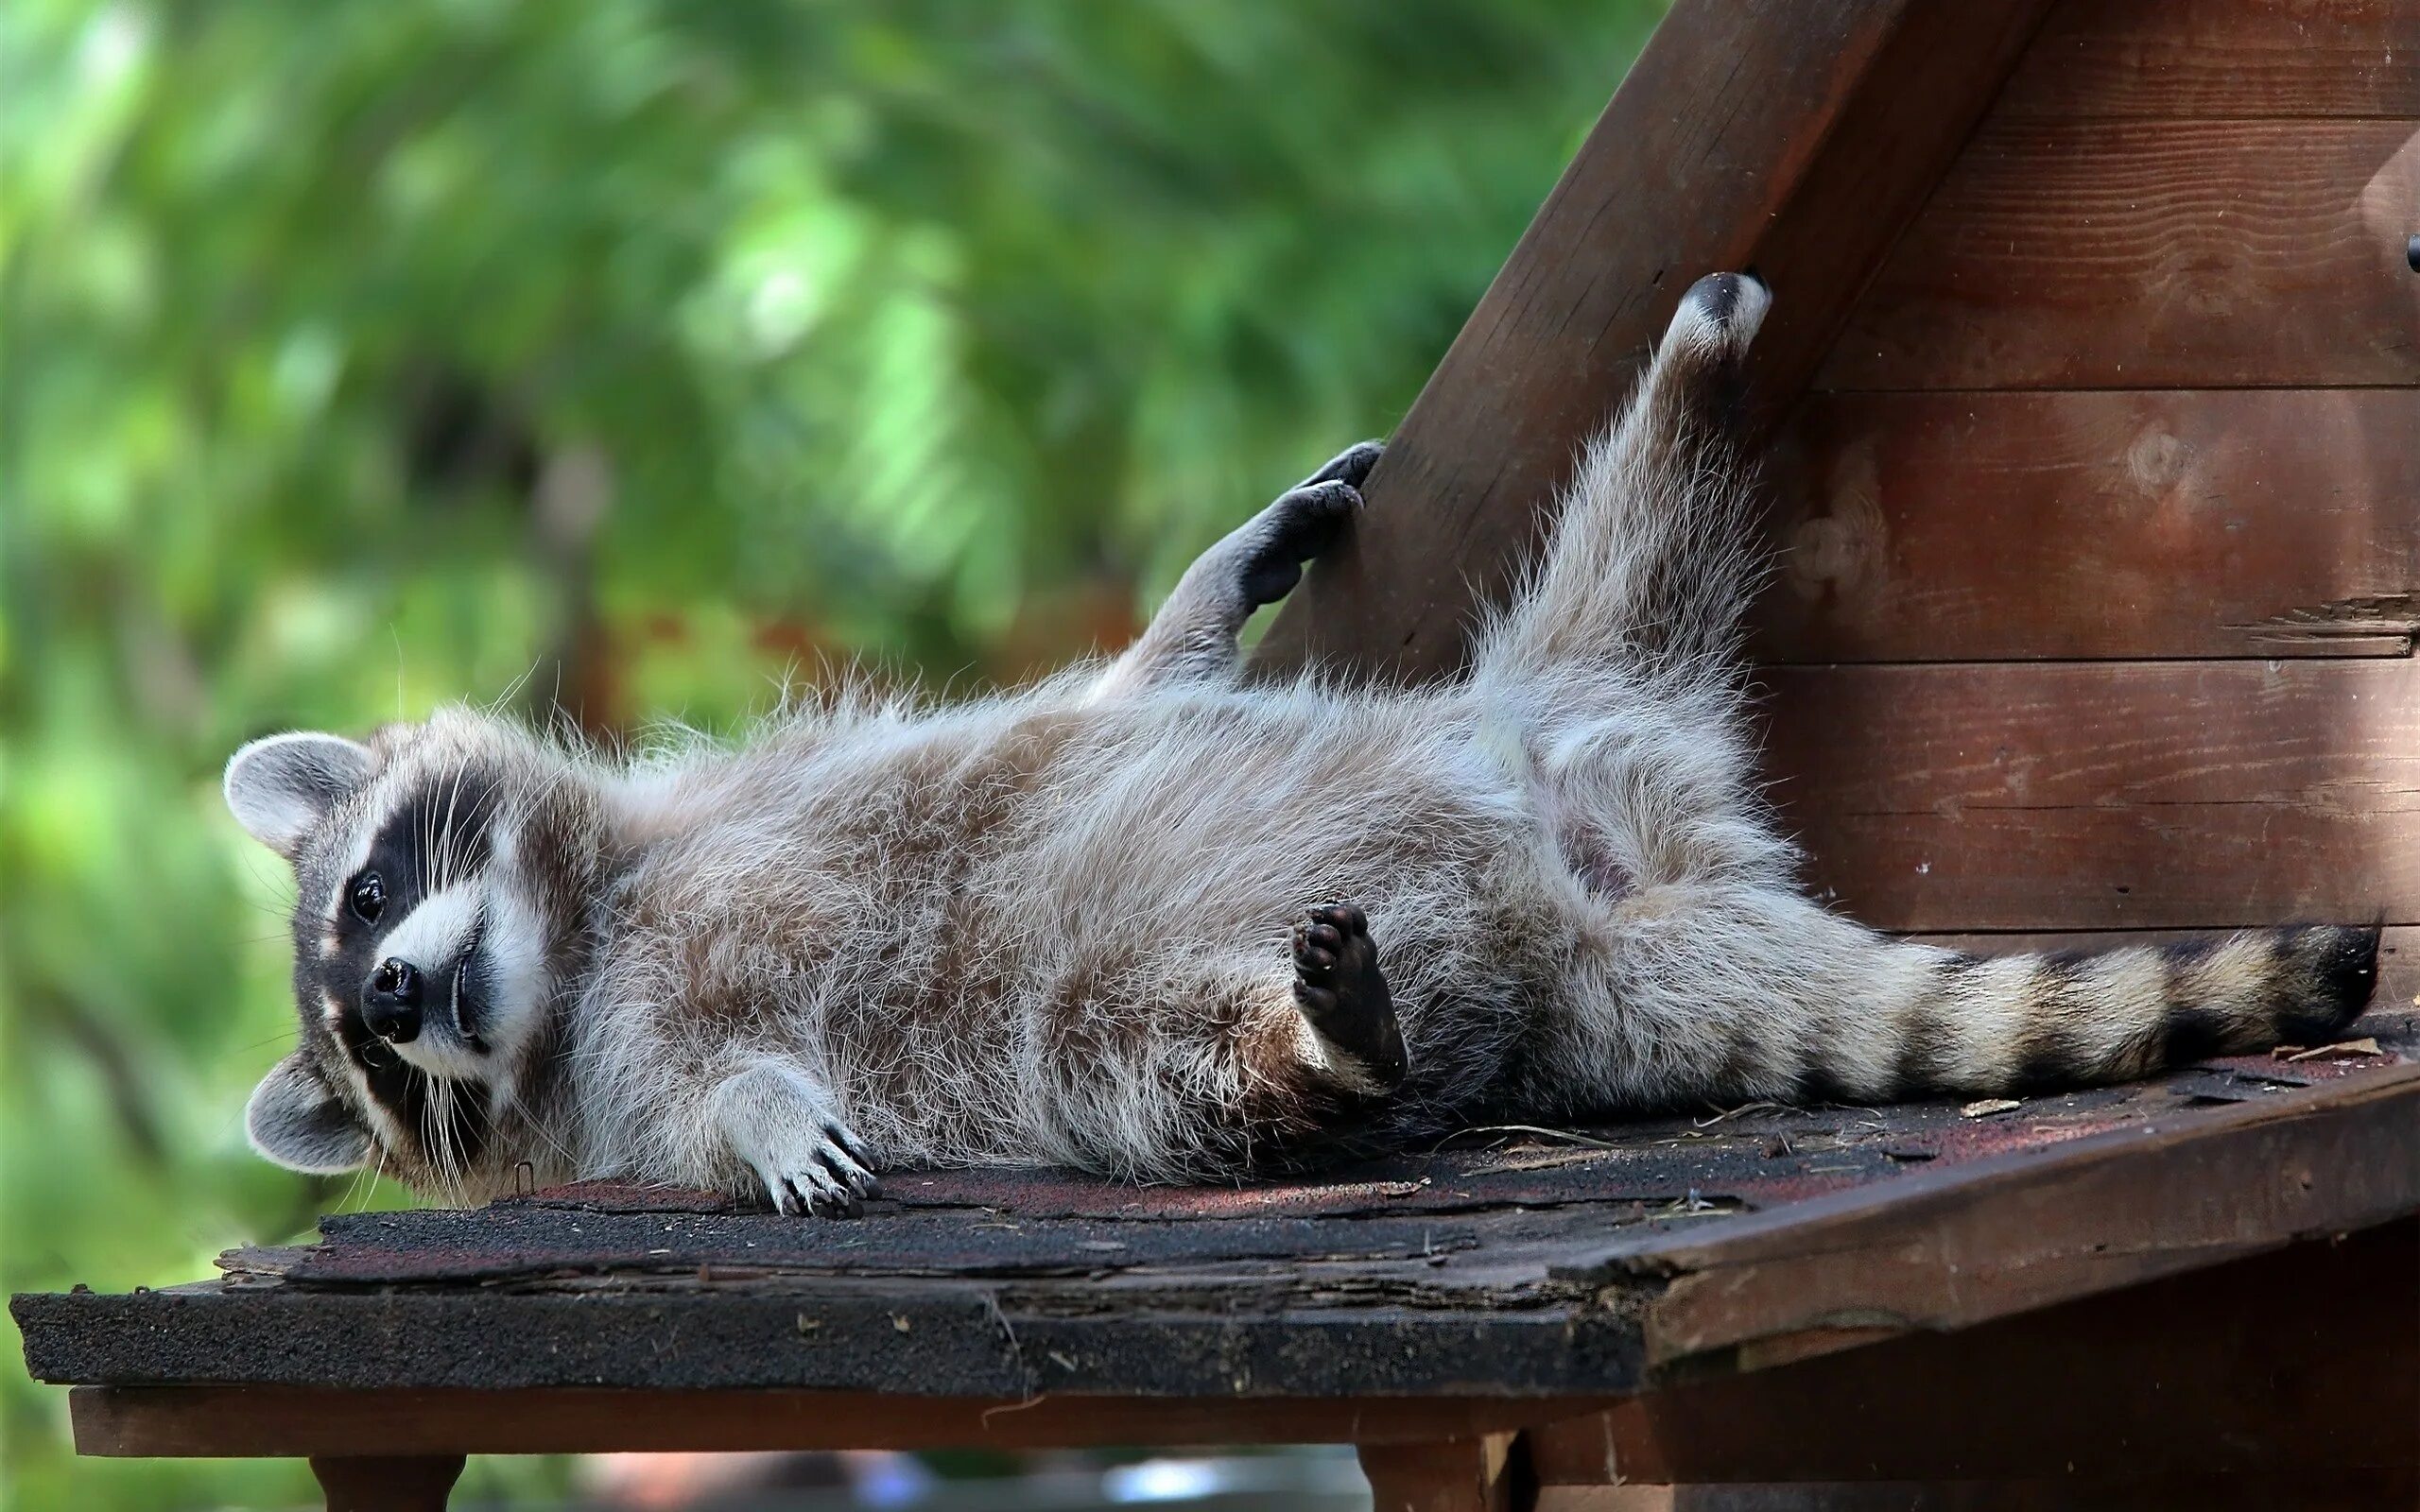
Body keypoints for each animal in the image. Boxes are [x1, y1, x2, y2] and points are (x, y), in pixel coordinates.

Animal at [235, 270, 2371, 1214]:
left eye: (370, 894)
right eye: (377, 1058)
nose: (403, 996)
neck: (591, 926)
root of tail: (1597, 915)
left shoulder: (783, 785)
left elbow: (1105, 700)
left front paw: (1205, 589)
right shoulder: (620, 1068)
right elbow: (697, 1105)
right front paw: (764, 1122)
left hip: (1578, 697)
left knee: (1637, 546)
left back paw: (1691, 379)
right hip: (1187, 1006)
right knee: (1176, 1066)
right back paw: (1318, 1043)